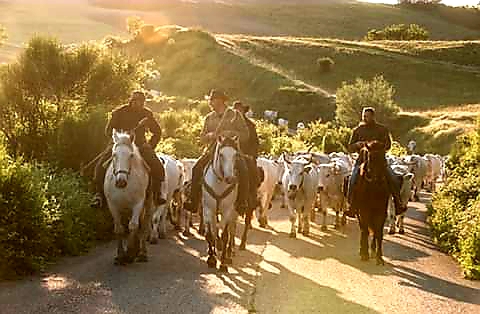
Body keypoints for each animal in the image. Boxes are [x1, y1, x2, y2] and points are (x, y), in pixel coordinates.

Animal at [106, 129, 153, 264]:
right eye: (114, 155)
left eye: (131, 155)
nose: (121, 182)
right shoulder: (113, 206)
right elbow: (119, 229)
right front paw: (120, 255)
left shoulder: (137, 204)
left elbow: (133, 226)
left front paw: (130, 253)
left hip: (148, 205)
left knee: (144, 226)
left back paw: (142, 253)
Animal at [202, 134, 240, 272]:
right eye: (221, 154)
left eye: (235, 155)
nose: (230, 178)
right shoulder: (208, 210)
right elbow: (209, 233)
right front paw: (211, 259)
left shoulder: (227, 211)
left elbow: (225, 235)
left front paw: (223, 263)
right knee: (214, 228)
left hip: (234, 213)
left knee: (232, 230)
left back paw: (229, 253)